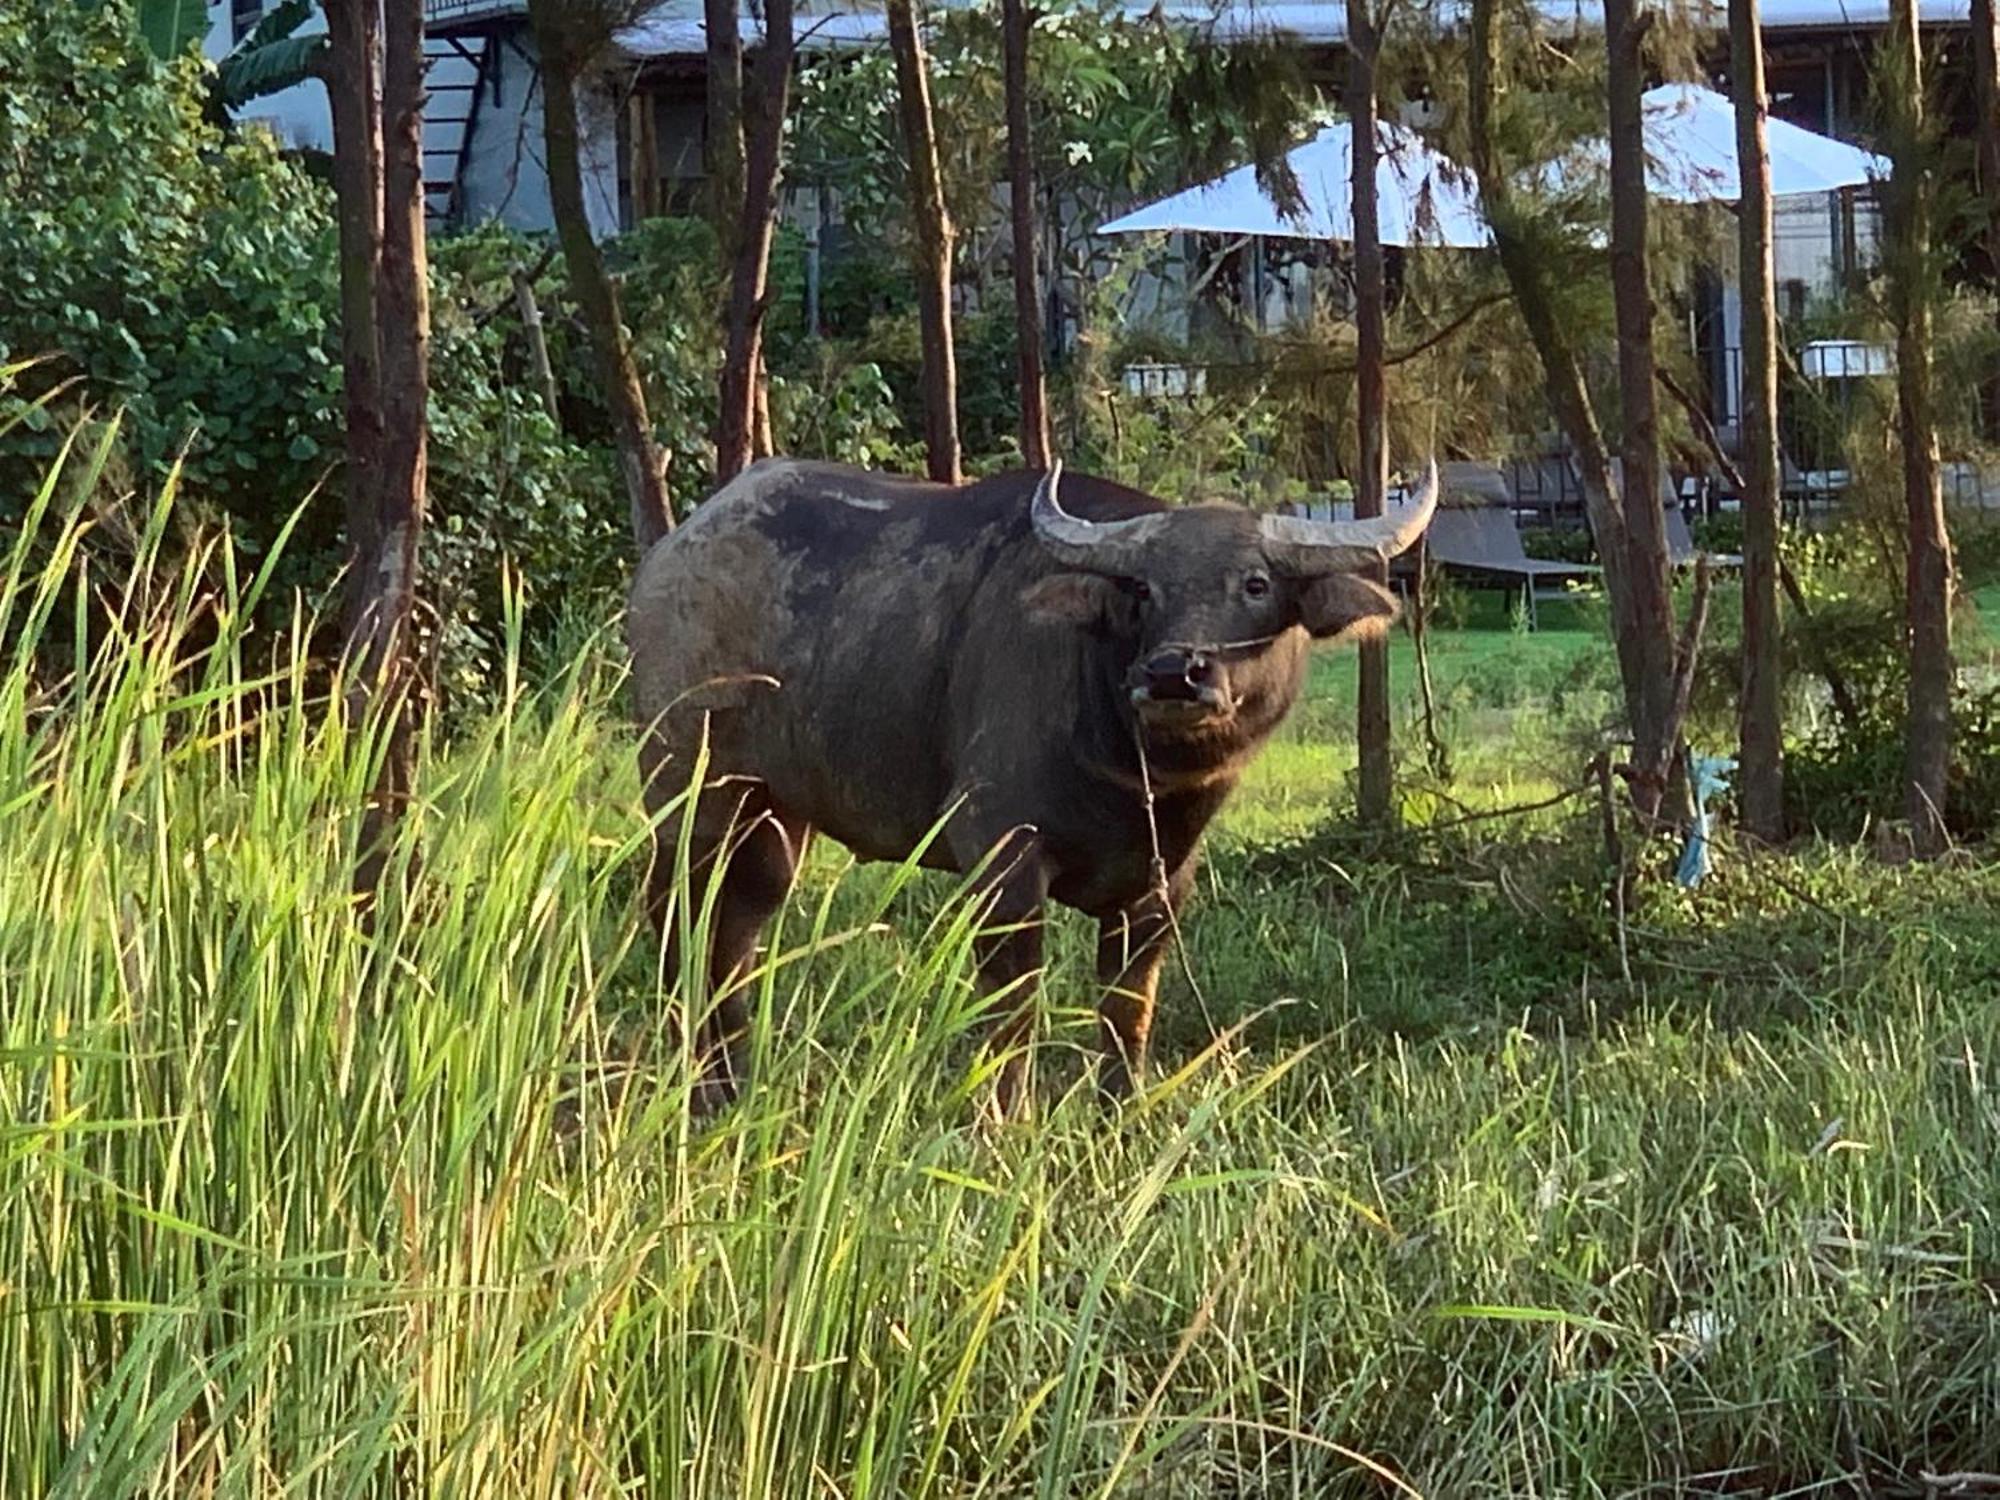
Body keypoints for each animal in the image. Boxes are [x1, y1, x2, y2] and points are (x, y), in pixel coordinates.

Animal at [632, 458, 1432, 1120]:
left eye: (1256, 584)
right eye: (1144, 590)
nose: (1174, 674)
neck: (1133, 775)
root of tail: (670, 556)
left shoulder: (1162, 888)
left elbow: (1128, 1012)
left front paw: (1121, 1117)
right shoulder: (1002, 858)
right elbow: (1015, 1009)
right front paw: (1005, 1122)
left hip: (774, 821)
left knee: (734, 934)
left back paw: (733, 1085)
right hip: (690, 797)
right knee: (677, 924)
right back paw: (694, 1084)